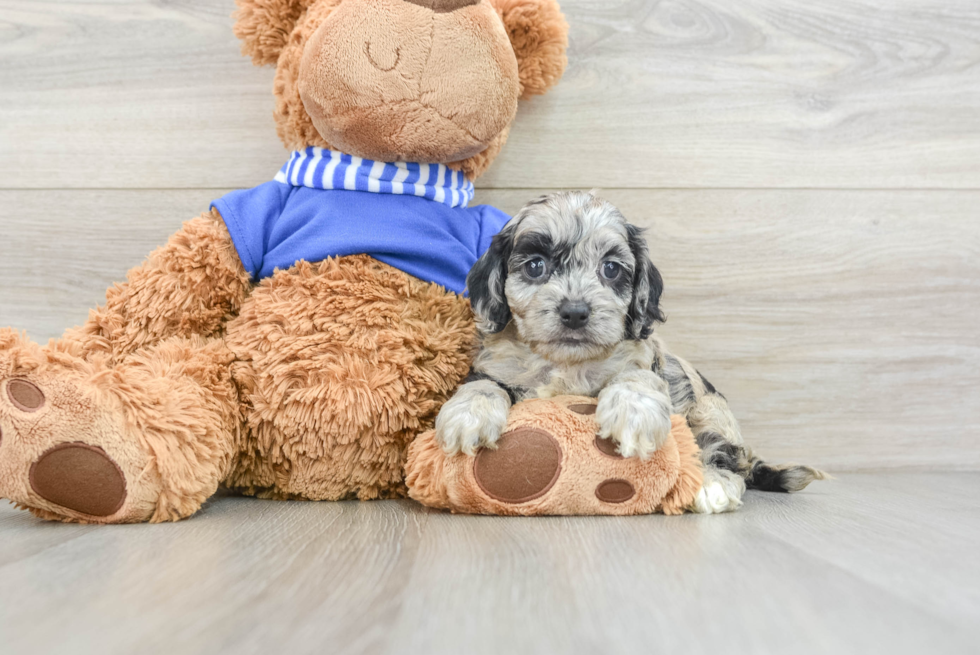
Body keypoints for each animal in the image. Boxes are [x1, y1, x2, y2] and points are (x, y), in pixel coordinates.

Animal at [432, 192, 824, 516]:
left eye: (610, 268)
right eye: (535, 266)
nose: (575, 312)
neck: (565, 364)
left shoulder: (646, 361)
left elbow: (636, 376)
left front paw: (633, 413)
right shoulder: (497, 367)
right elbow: (483, 385)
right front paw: (469, 416)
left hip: (710, 409)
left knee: (725, 457)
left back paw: (712, 485)